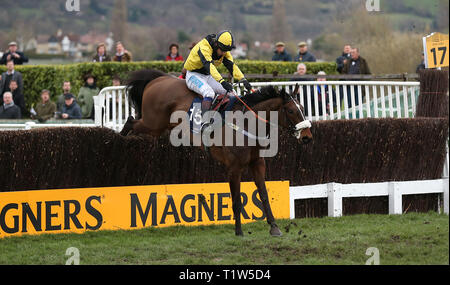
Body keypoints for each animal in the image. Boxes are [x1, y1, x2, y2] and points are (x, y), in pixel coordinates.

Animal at [118, 70, 312, 236]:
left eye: (303, 108)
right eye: (291, 111)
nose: (307, 137)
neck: (246, 124)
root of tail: (159, 79)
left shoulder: (257, 163)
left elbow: (263, 194)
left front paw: (274, 227)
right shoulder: (234, 168)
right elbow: (236, 199)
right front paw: (239, 231)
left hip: (157, 128)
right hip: (153, 123)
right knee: (131, 121)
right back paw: (119, 137)